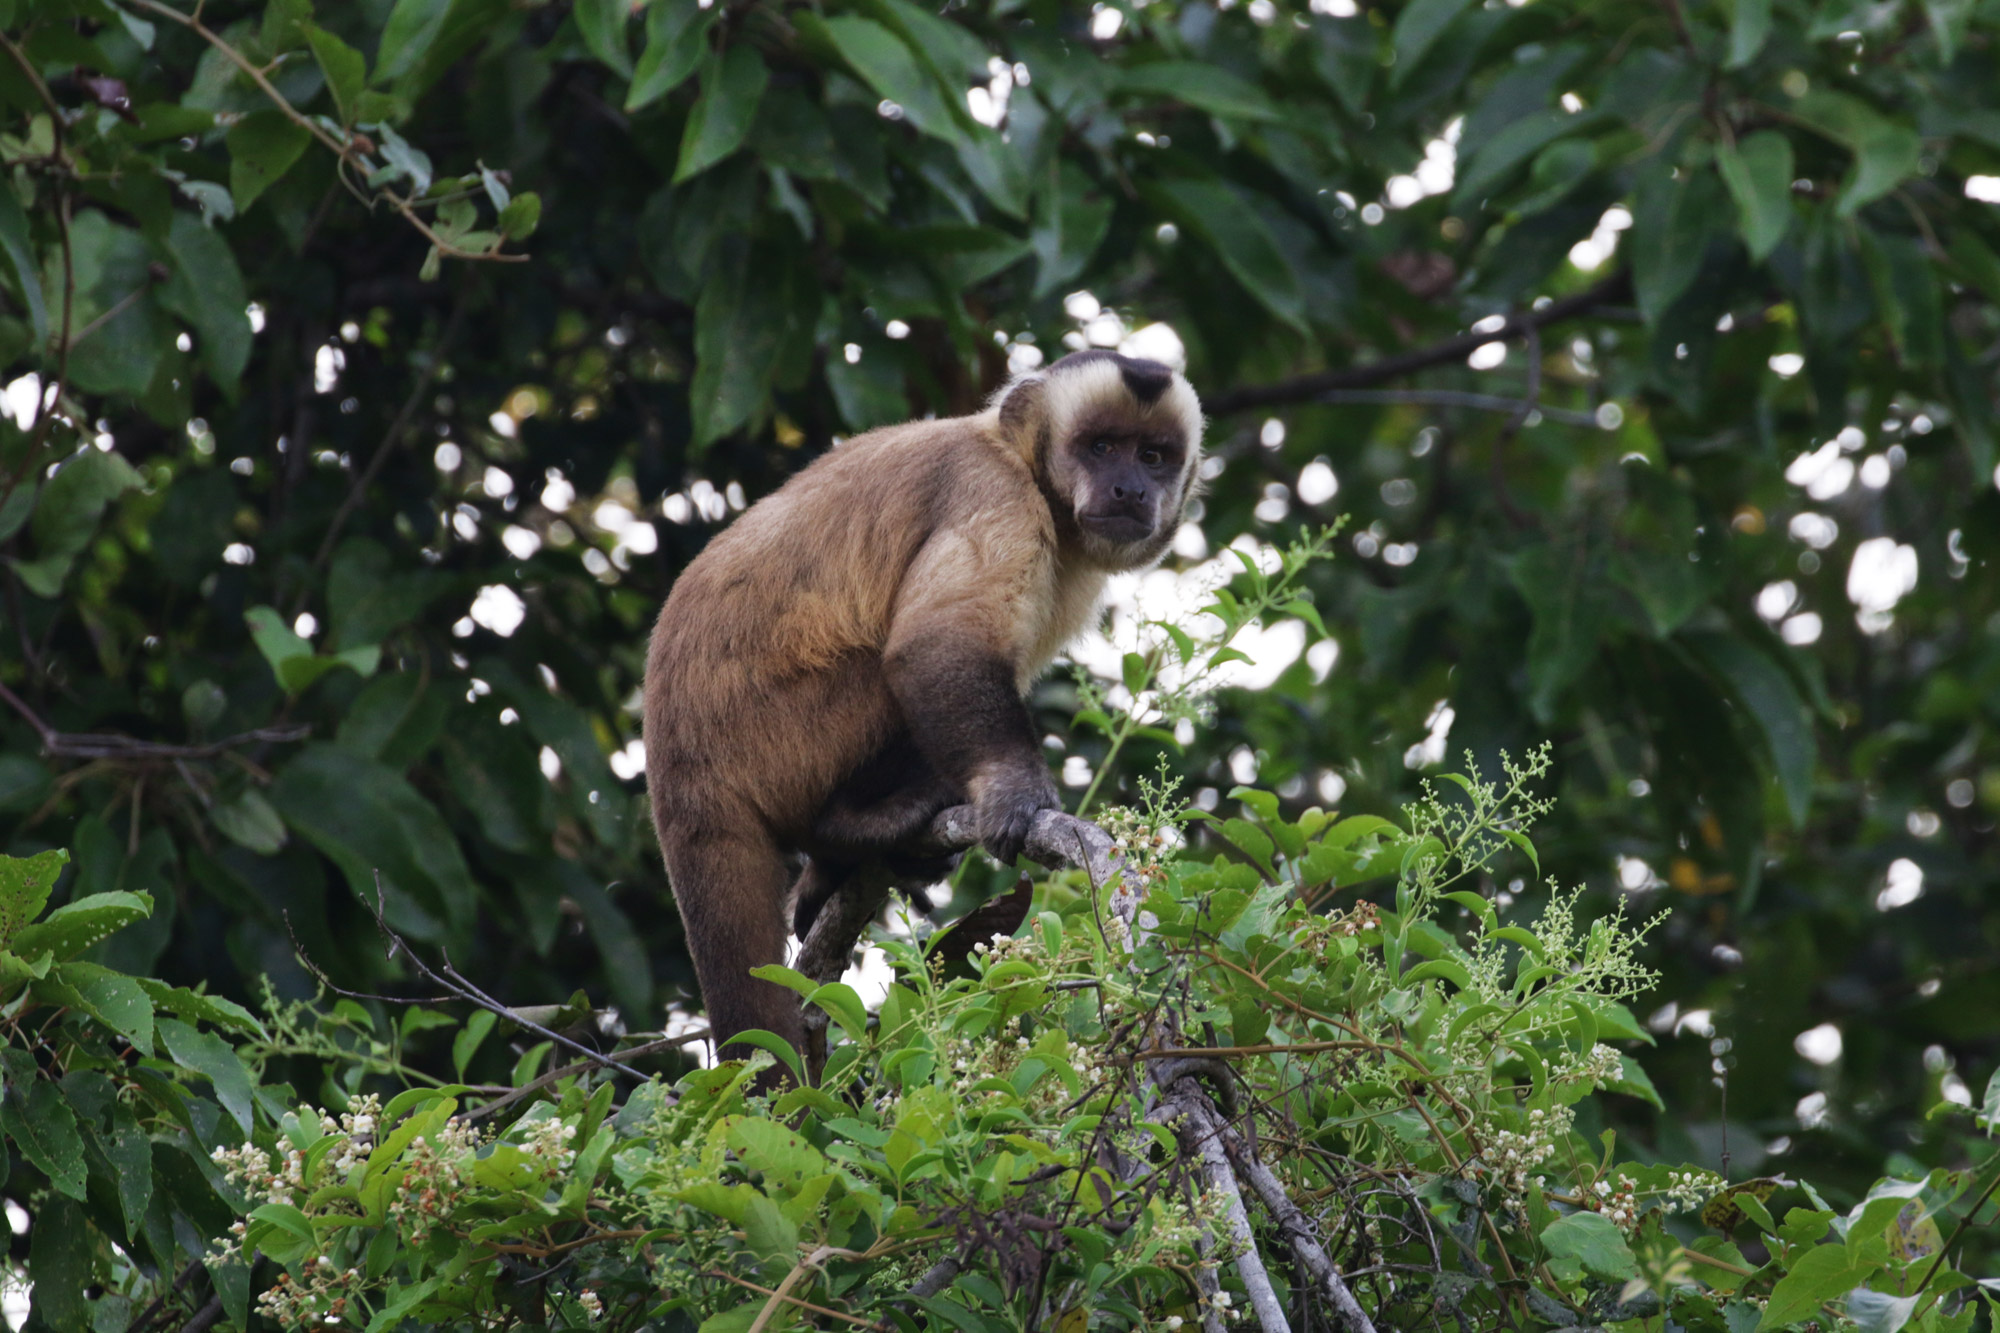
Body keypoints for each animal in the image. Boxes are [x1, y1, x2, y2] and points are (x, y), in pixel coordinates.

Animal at [644, 348, 1200, 1064]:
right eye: (1102, 448)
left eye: (1153, 456)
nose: (1130, 489)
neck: (1020, 465)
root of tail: (675, 769)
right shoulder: (992, 491)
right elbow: (934, 645)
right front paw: (1012, 789)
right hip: (771, 740)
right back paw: (850, 826)